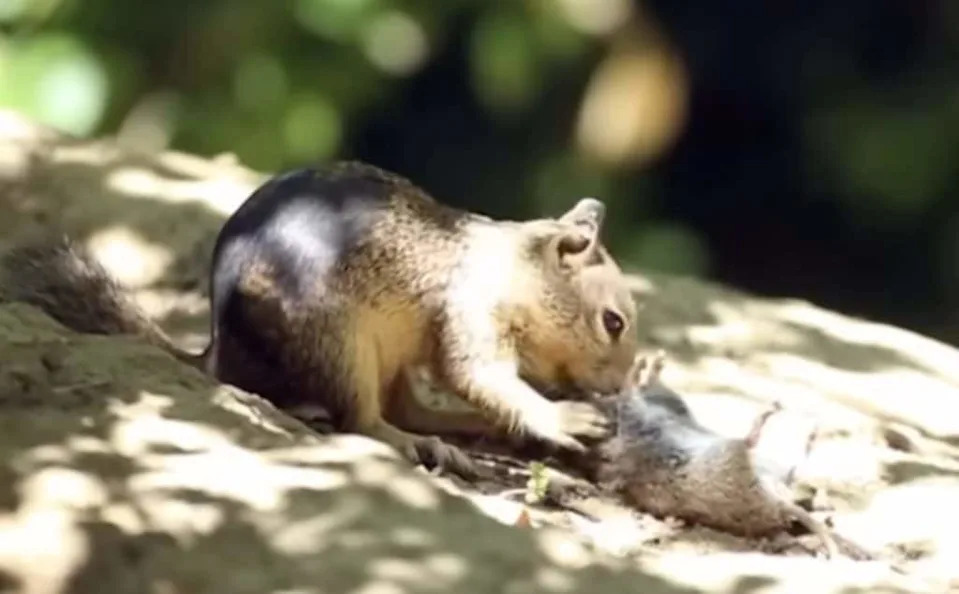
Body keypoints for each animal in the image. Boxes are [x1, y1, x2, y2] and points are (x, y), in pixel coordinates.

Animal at [0, 161, 639, 478]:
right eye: (613, 322)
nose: (616, 389)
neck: (507, 266)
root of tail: (218, 356)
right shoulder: (470, 311)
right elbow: (478, 374)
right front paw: (562, 418)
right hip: (340, 344)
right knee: (365, 421)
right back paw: (419, 444)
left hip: (387, 355)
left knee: (406, 405)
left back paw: (462, 430)